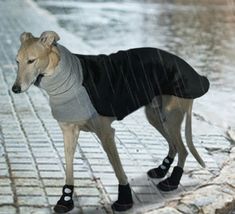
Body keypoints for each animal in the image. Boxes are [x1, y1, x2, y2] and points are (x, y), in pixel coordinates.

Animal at [12, 30, 209, 213]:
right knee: (174, 145)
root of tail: (192, 70)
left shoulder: (106, 134)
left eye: (31, 60)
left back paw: (172, 181)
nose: (15, 89)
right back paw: (162, 169)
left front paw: (125, 200)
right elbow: (68, 166)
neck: (67, 77)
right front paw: (66, 199)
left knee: (183, 149)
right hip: (155, 115)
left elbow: (118, 168)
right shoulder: (69, 131)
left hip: (171, 116)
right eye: (17, 61)